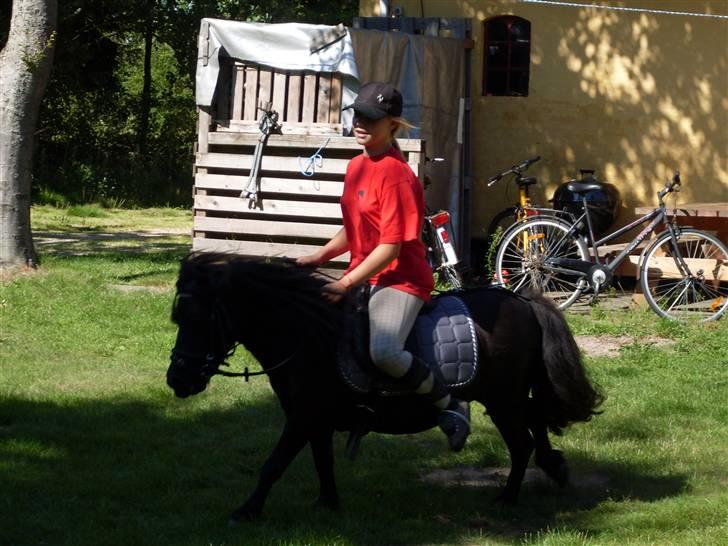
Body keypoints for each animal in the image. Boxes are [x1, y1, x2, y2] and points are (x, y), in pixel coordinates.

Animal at [166, 253, 604, 520]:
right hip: (509, 396)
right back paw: (554, 467)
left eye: (197, 318)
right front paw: (328, 504)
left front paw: (246, 511)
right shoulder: (315, 421)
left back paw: (508, 496)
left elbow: (273, 465)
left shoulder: (302, 418)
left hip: (502, 399)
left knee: (522, 442)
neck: (307, 333)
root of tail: (524, 302)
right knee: (536, 419)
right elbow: (322, 462)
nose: (177, 380)